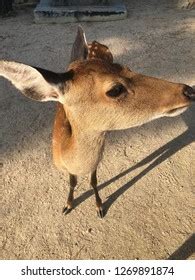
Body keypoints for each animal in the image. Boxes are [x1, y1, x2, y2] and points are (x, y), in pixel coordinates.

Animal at [0, 26, 194, 219]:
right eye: (115, 89)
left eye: (128, 68)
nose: (188, 90)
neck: (70, 158)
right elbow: (72, 182)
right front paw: (67, 205)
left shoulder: (97, 158)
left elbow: (93, 181)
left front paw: (99, 207)